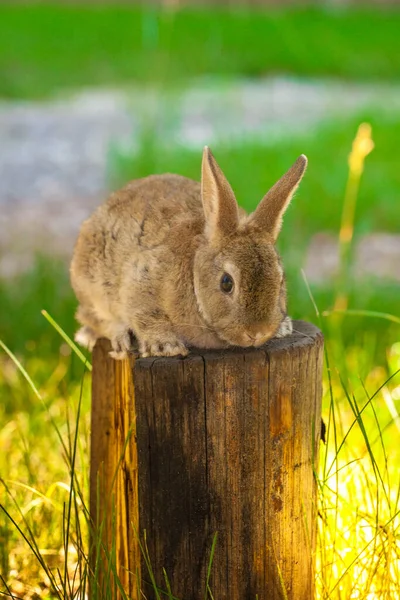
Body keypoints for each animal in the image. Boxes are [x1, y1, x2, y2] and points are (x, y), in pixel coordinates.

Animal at [69, 148, 306, 358]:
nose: (257, 333)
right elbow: (144, 314)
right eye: (226, 283)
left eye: (281, 280)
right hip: (91, 287)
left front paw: (284, 328)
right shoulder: (139, 282)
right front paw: (165, 346)